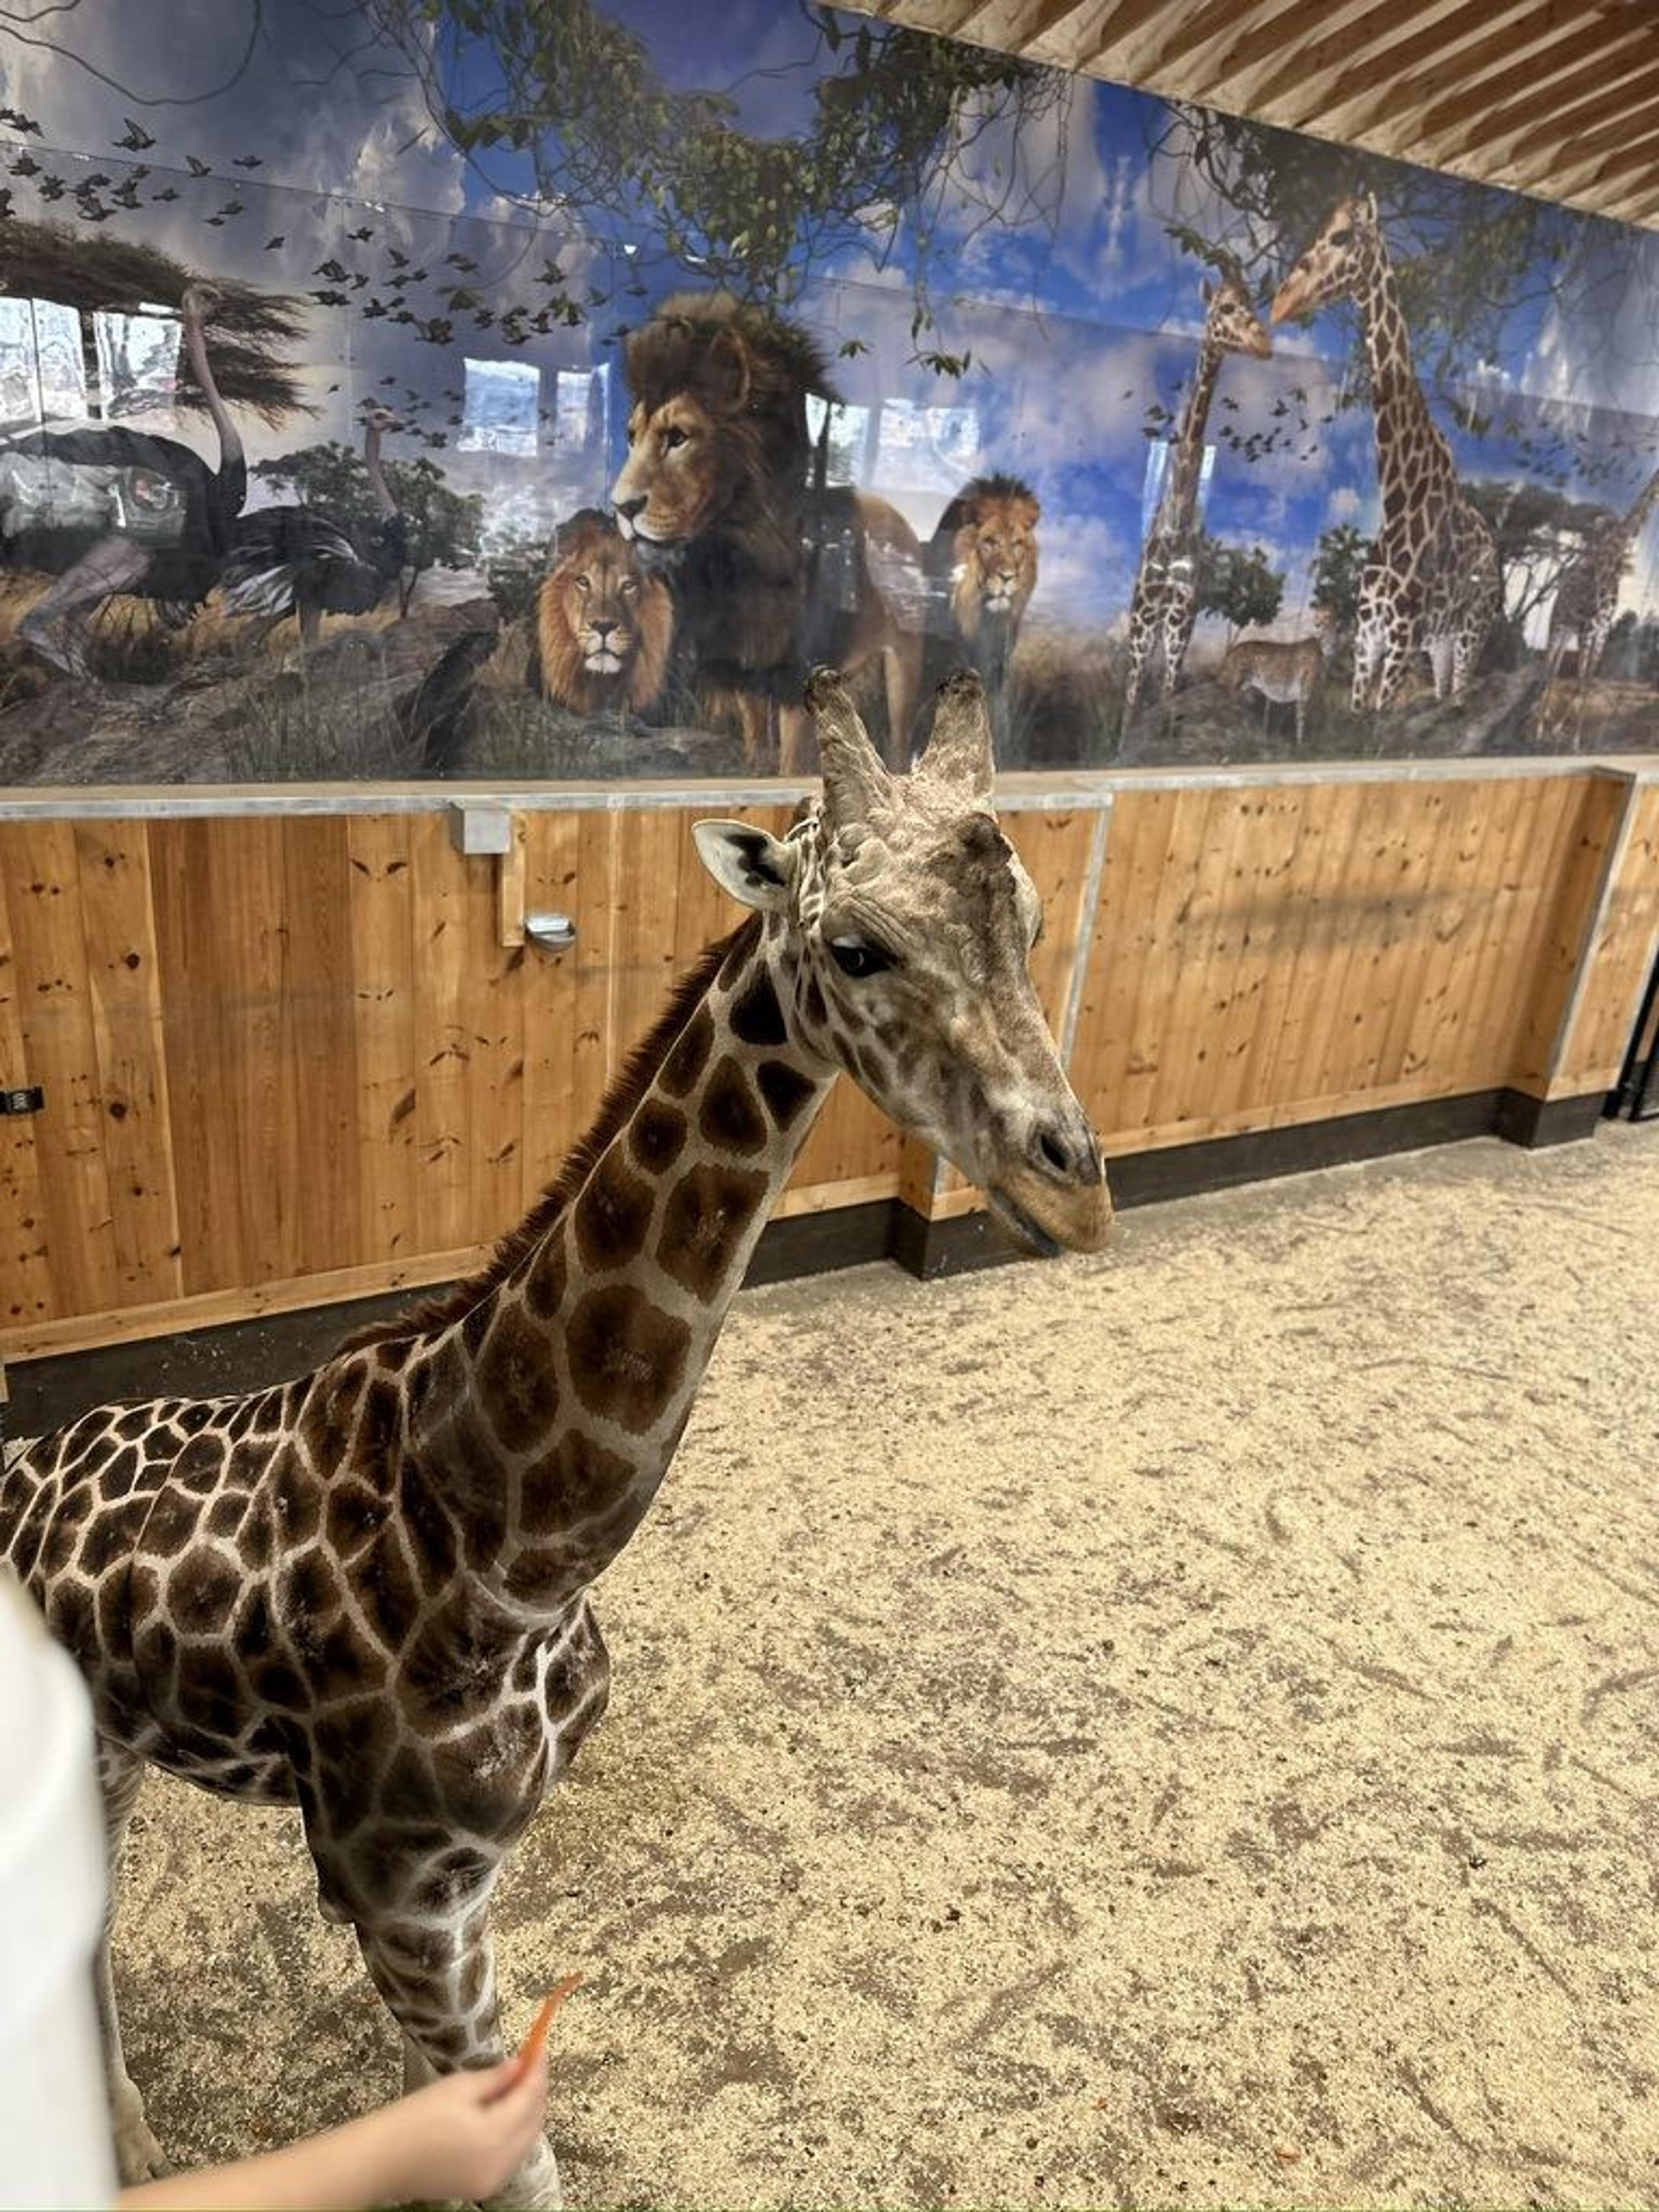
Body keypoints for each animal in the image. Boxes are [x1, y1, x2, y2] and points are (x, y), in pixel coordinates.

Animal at [0, 668, 1111, 2211]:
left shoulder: (462, 1884)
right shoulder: (400, 1891)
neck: (508, 1540)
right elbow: (524, 2165)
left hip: (104, 1748)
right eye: (855, 944)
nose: (1077, 1192)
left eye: (1032, 921)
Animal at [1121, 273, 1273, 715]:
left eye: (1253, 304)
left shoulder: (1181, 623)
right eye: (1224, 307)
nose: (1264, 342)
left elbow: (1169, 694)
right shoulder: (1146, 621)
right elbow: (1128, 707)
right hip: (1140, 620)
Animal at [1272, 192, 1500, 715]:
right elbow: (1357, 712)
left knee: (1460, 695)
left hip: (1471, 632)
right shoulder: (1368, 633)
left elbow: (1375, 716)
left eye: (1341, 236)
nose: (1279, 302)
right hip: (1439, 641)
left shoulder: (1400, 636)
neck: (1399, 498)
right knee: (1442, 694)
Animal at [1544, 460, 1659, 687]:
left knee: (1555, 665)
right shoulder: (1588, 628)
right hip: (1558, 622)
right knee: (1549, 656)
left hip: (1570, 629)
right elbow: (1581, 677)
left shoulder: (1602, 631)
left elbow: (1590, 675)